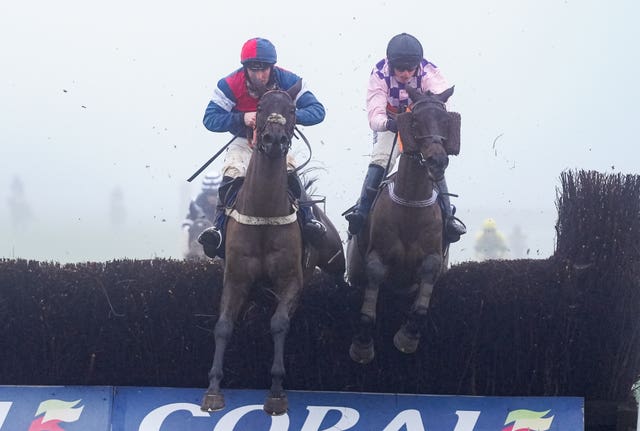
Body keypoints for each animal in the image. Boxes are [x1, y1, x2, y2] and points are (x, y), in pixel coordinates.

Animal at [202, 79, 348, 416]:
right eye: (258, 108)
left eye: (292, 109)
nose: (274, 140)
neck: (264, 210)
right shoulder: (236, 278)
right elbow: (223, 325)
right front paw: (213, 389)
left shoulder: (291, 279)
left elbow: (279, 323)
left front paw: (277, 391)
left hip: (334, 258)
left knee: (341, 278)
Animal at [344, 84, 460, 364]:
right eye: (415, 120)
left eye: (445, 120)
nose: (437, 161)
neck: (411, 206)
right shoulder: (377, 257)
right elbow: (370, 298)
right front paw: (362, 345)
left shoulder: (433, 257)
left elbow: (422, 301)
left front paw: (407, 337)